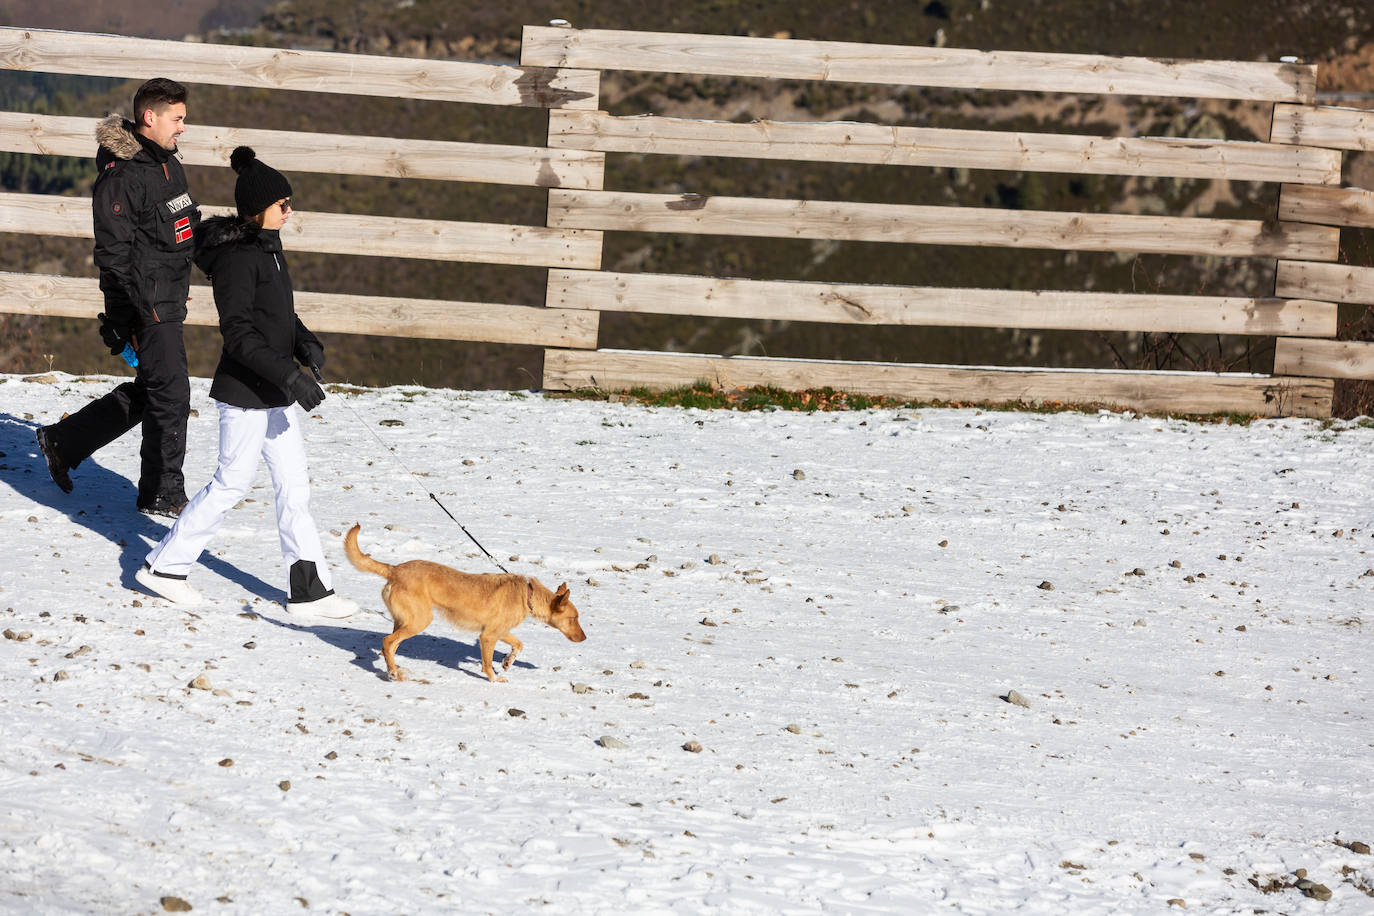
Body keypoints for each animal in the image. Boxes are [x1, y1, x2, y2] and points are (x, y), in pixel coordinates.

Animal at [343, 521, 585, 681]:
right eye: (574, 618)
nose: (584, 638)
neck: (528, 594)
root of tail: (394, 569)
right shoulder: (488, 637)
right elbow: (487, 664)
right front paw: (494, 679)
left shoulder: (498, 631)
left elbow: (518, 644)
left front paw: (508, 661)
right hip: (420, 620)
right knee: (387, 642)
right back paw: (393, 672)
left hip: (404, 620)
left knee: (390, 646)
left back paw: (393, 669)